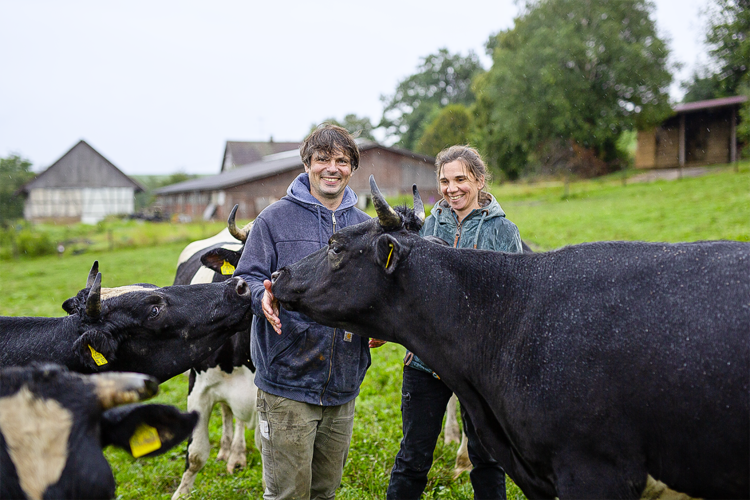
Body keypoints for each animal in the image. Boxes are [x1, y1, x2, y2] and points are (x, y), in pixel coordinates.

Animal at [172, 205, 260, 498]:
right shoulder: (198, 388)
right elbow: (196, 454)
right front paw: (181, 493)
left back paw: (236, 455)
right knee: (226, 411)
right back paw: (226, 450)